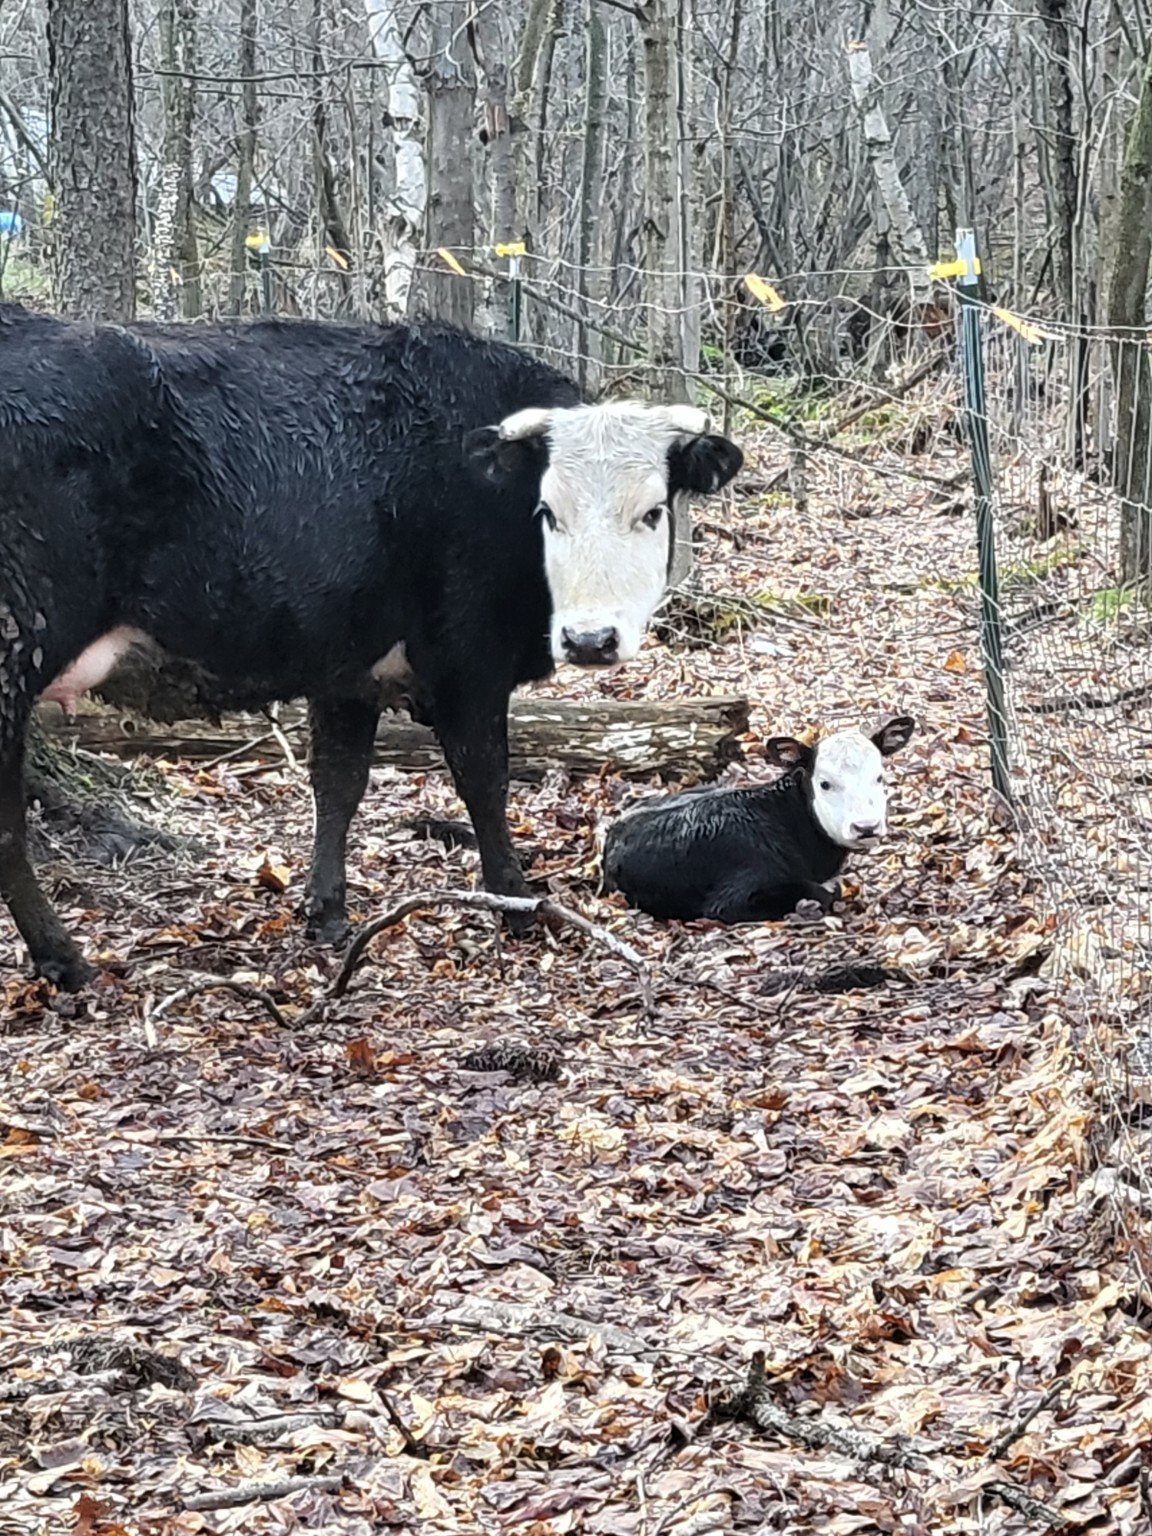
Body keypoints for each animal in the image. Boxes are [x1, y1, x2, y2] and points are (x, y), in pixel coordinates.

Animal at [0, 304, 742, 990]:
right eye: (547, 512)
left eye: (651, 511)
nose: (590, 639)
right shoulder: (466, 661)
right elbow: (484, 779)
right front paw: (515, 902)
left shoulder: (347, 668)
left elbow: (339, 783)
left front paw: (327, 912)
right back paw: (62, 958)